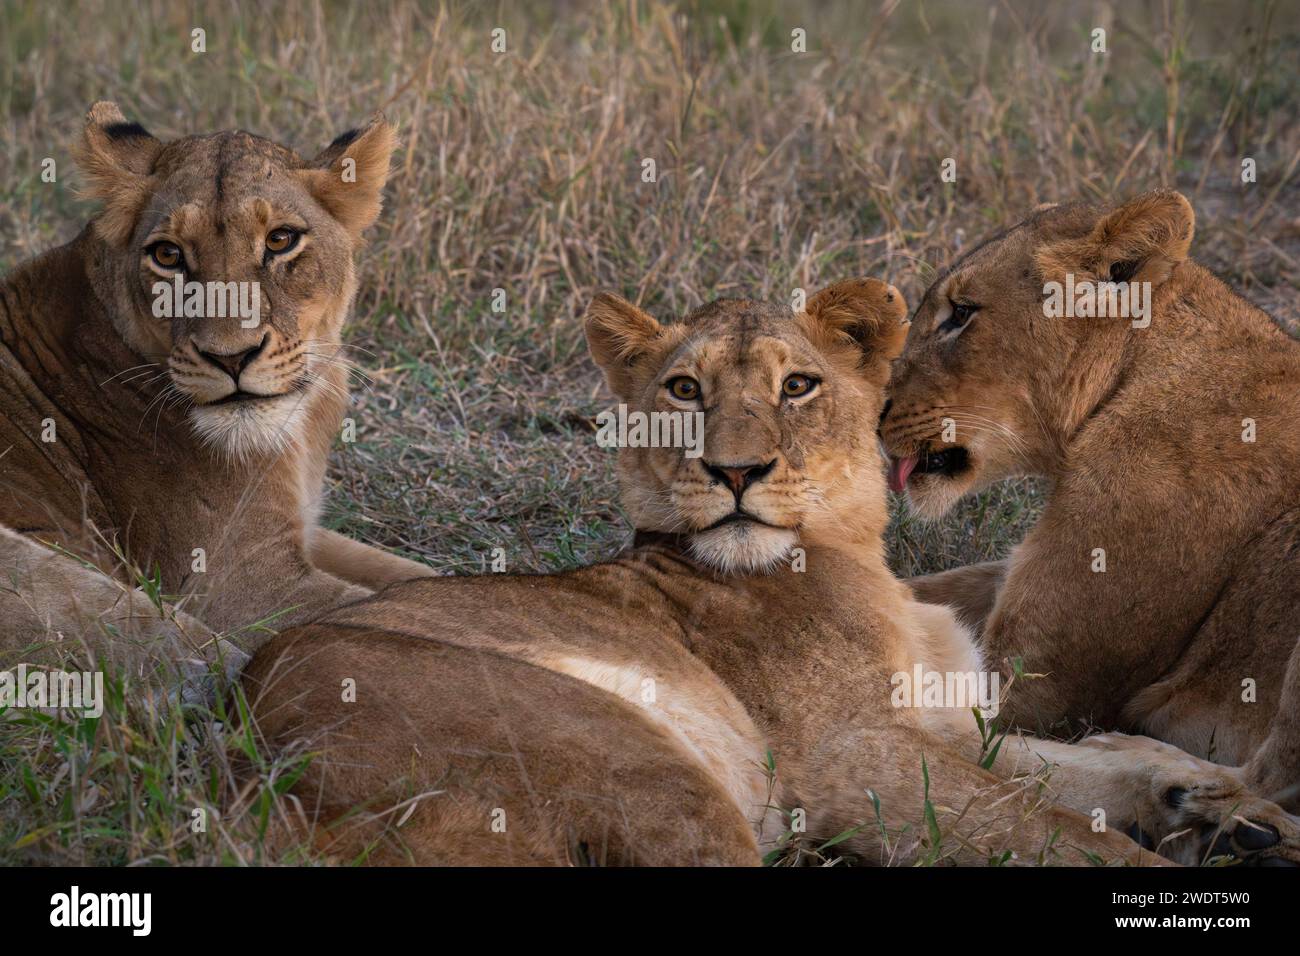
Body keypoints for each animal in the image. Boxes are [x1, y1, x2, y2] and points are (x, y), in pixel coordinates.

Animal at [0, 100, 436, 686]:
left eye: (280, 240)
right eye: (167, 255)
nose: (230, 358)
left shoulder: (305, 527)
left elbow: (418, 576)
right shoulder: (239, 586)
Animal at [241, 277, 1300, 868]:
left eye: (799, 386)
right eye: (683, 389)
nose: (738, 470)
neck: (858, 556)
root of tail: (248, 766)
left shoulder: (934, 720)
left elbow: (1089, 763)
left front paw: (1228, 810)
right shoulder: (848, 760)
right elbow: (1057, 832)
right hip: (652, 771)